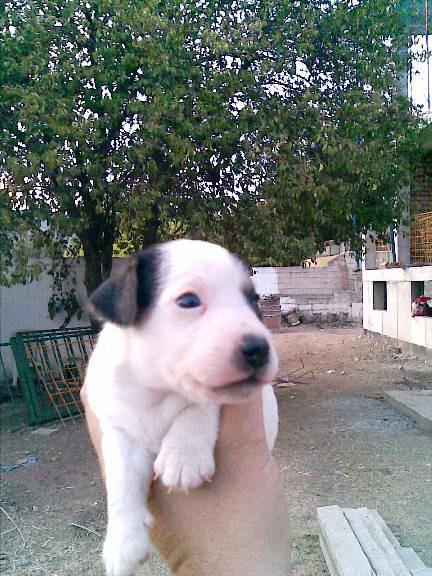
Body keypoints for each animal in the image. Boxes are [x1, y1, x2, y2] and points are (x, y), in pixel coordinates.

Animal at [85, 238, 280, 576]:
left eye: (253, 300)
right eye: (188, 301)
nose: (259, 348)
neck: (159, 391)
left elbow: (200, 404)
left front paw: (184, 454)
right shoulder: (116, 423)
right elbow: (122, 478)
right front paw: (123, 542)